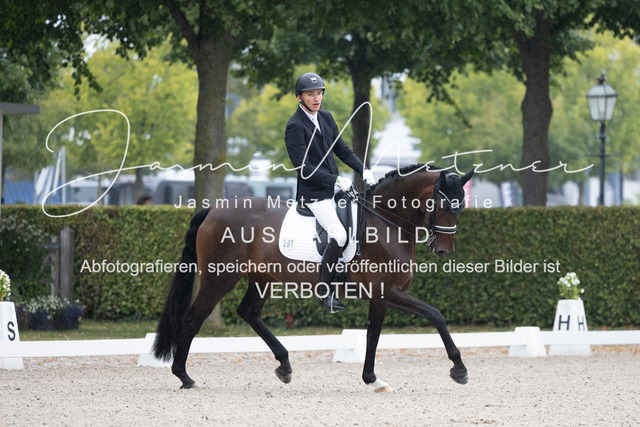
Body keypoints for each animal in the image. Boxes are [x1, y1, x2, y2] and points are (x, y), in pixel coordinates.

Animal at [153, 163, 474, 392]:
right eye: (443, 205)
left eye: (460, 208)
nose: (443, 250)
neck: (385, 223)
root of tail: (213, 211)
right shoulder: (388, 292)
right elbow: (435, 315)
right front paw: (459, 369)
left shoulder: (381, 296)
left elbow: (372, 336)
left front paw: (372, 379)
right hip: (219, 279)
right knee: (192, 319)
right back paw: (184, 376)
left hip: (262, 278)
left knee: (249, 312)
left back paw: (284, 365)